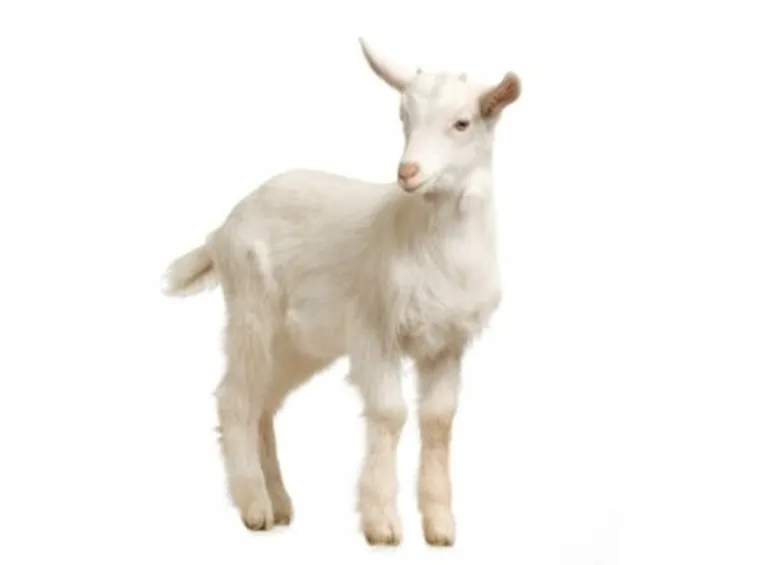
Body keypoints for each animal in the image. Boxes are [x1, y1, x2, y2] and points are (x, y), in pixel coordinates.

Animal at [163, 37, 521, 547]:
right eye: (403, 115)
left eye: (462, 122)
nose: (408, 171)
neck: (425, 236)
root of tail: (222, 230)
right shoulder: (375, 329)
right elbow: (390, 413)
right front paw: (382, 524)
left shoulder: (447, 343)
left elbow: (438, 421)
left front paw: (440, 526)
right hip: (251, 308)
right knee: (235, 397)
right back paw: (255, 508)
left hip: (298, 341)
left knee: (264, 401)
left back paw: (280, 503)